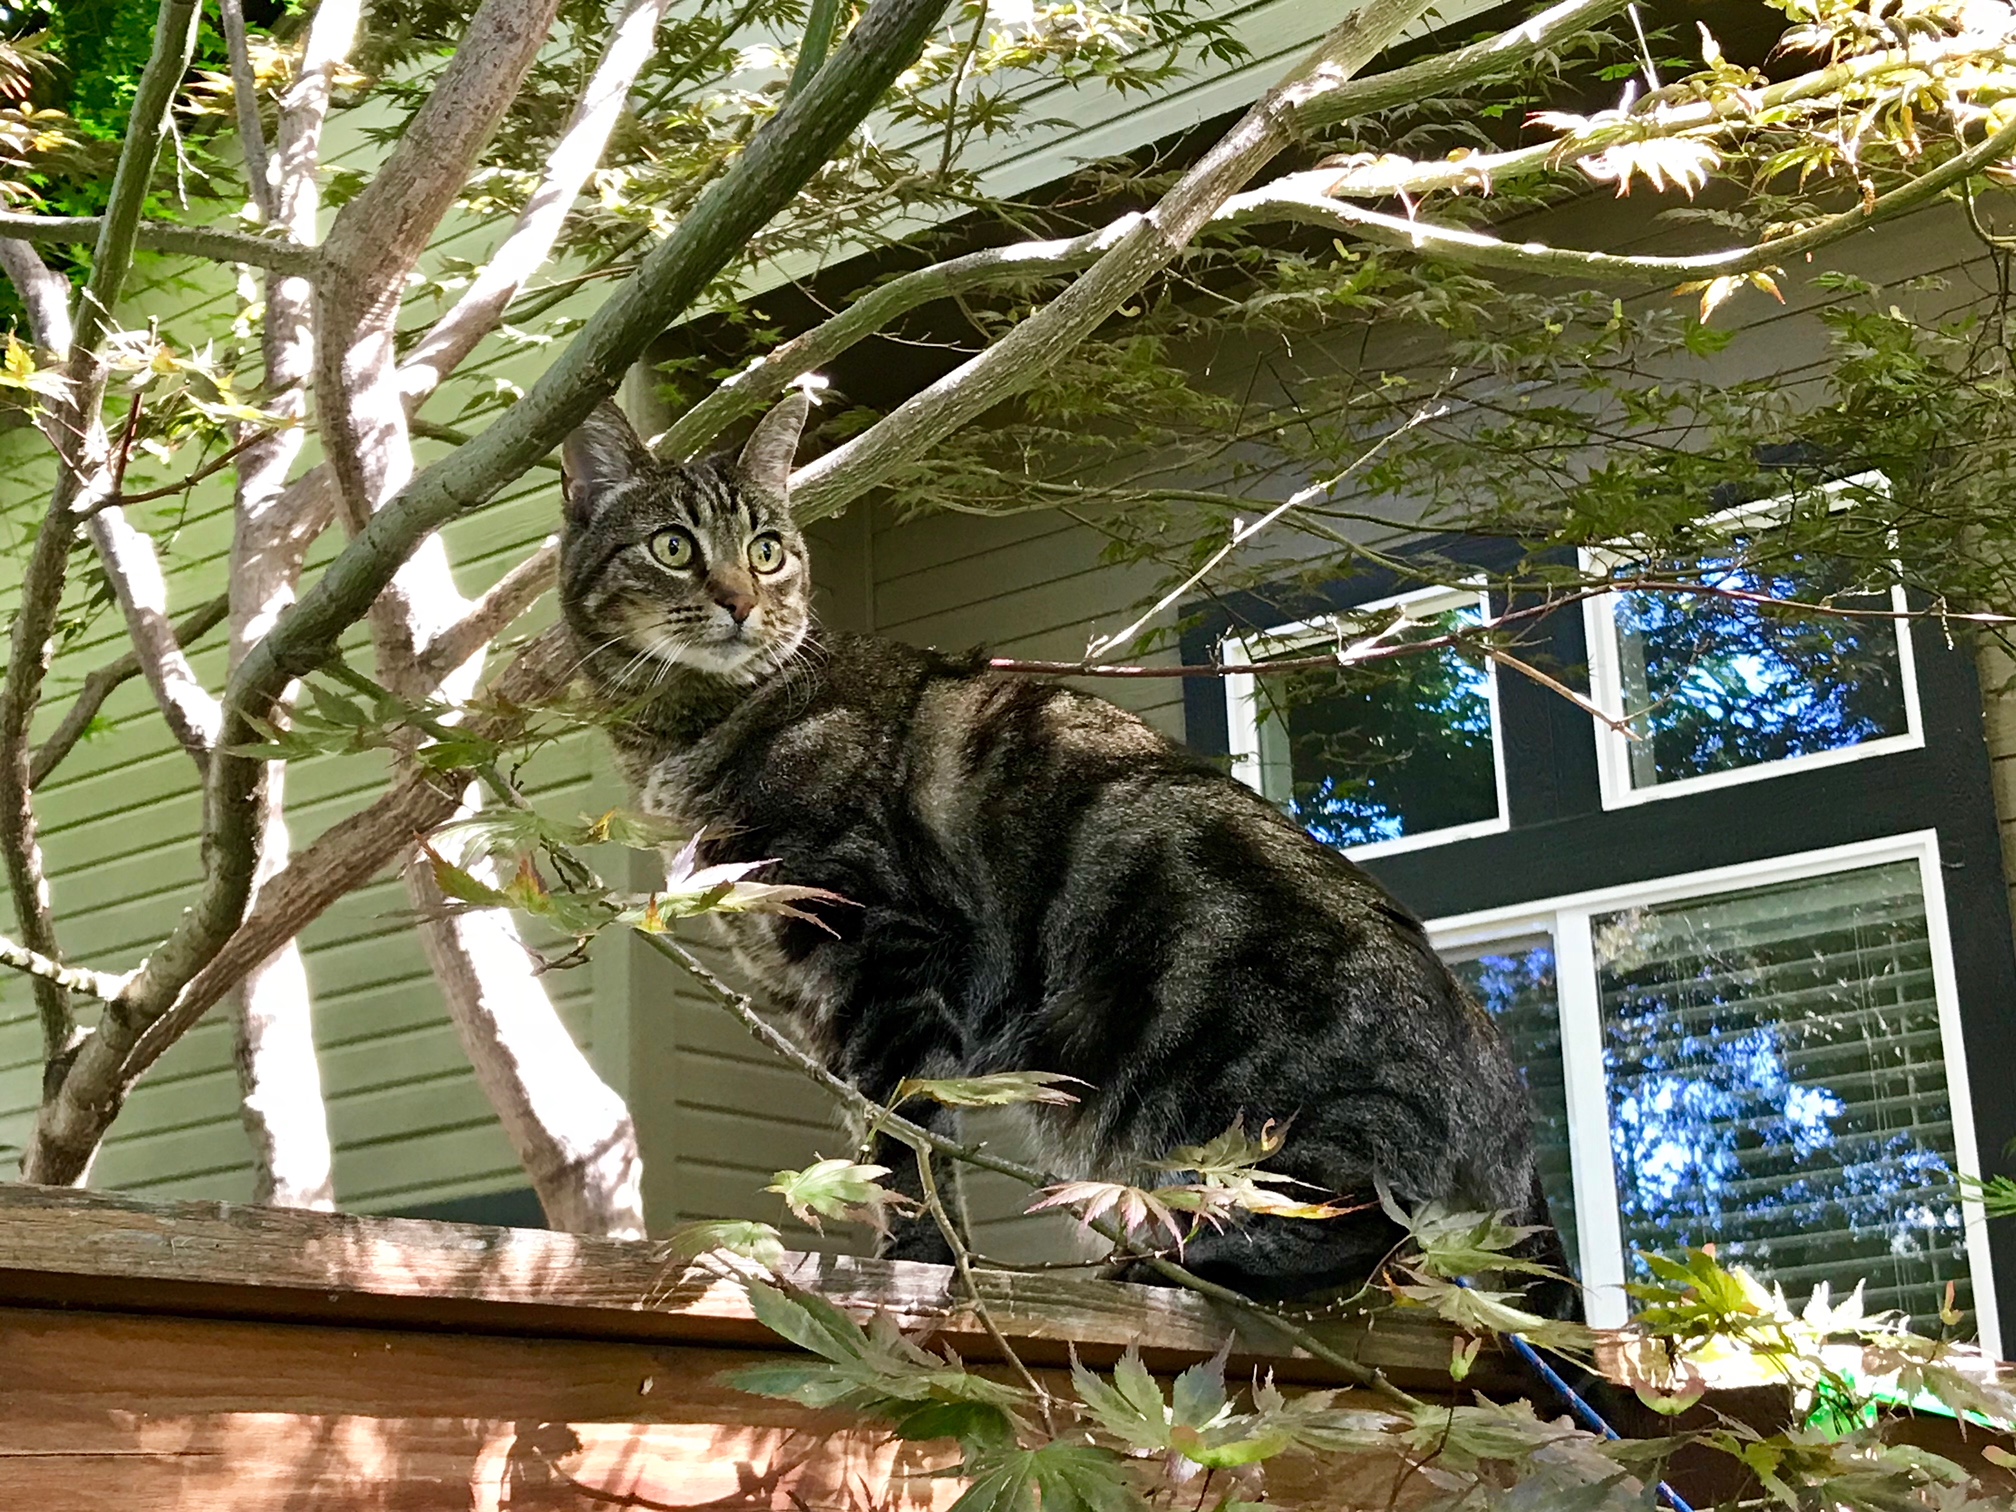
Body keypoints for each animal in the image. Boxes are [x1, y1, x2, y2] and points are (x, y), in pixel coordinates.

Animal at [557, 394, 1567, 1305]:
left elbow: (905, 1139)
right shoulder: (808, 995)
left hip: (1235, 1096)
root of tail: (1508, 1117)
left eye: (766, 549)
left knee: (1373, 1229)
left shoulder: (883, 954)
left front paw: (918, 1262)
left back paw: (1187, 1263)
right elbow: (865, 1136)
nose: (739, 601)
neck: (691, 732)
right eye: (675, 547)